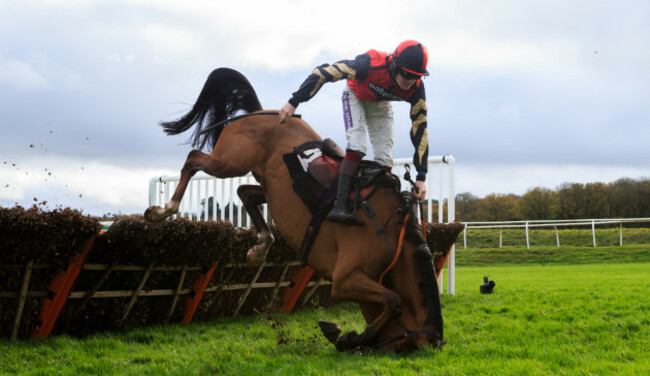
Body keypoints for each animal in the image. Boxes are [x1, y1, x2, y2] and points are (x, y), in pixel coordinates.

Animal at [144, 67, 442, 352]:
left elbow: (391, 301)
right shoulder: (345, 278)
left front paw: (344, 336)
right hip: (229, 160)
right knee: (194, 159)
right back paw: (162, 211)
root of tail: (259, 112)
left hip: (267, 184)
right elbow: (394, 301)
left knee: (245, 193)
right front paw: (350, 338)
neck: (389, 235)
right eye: (407, 347)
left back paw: (261, 246)